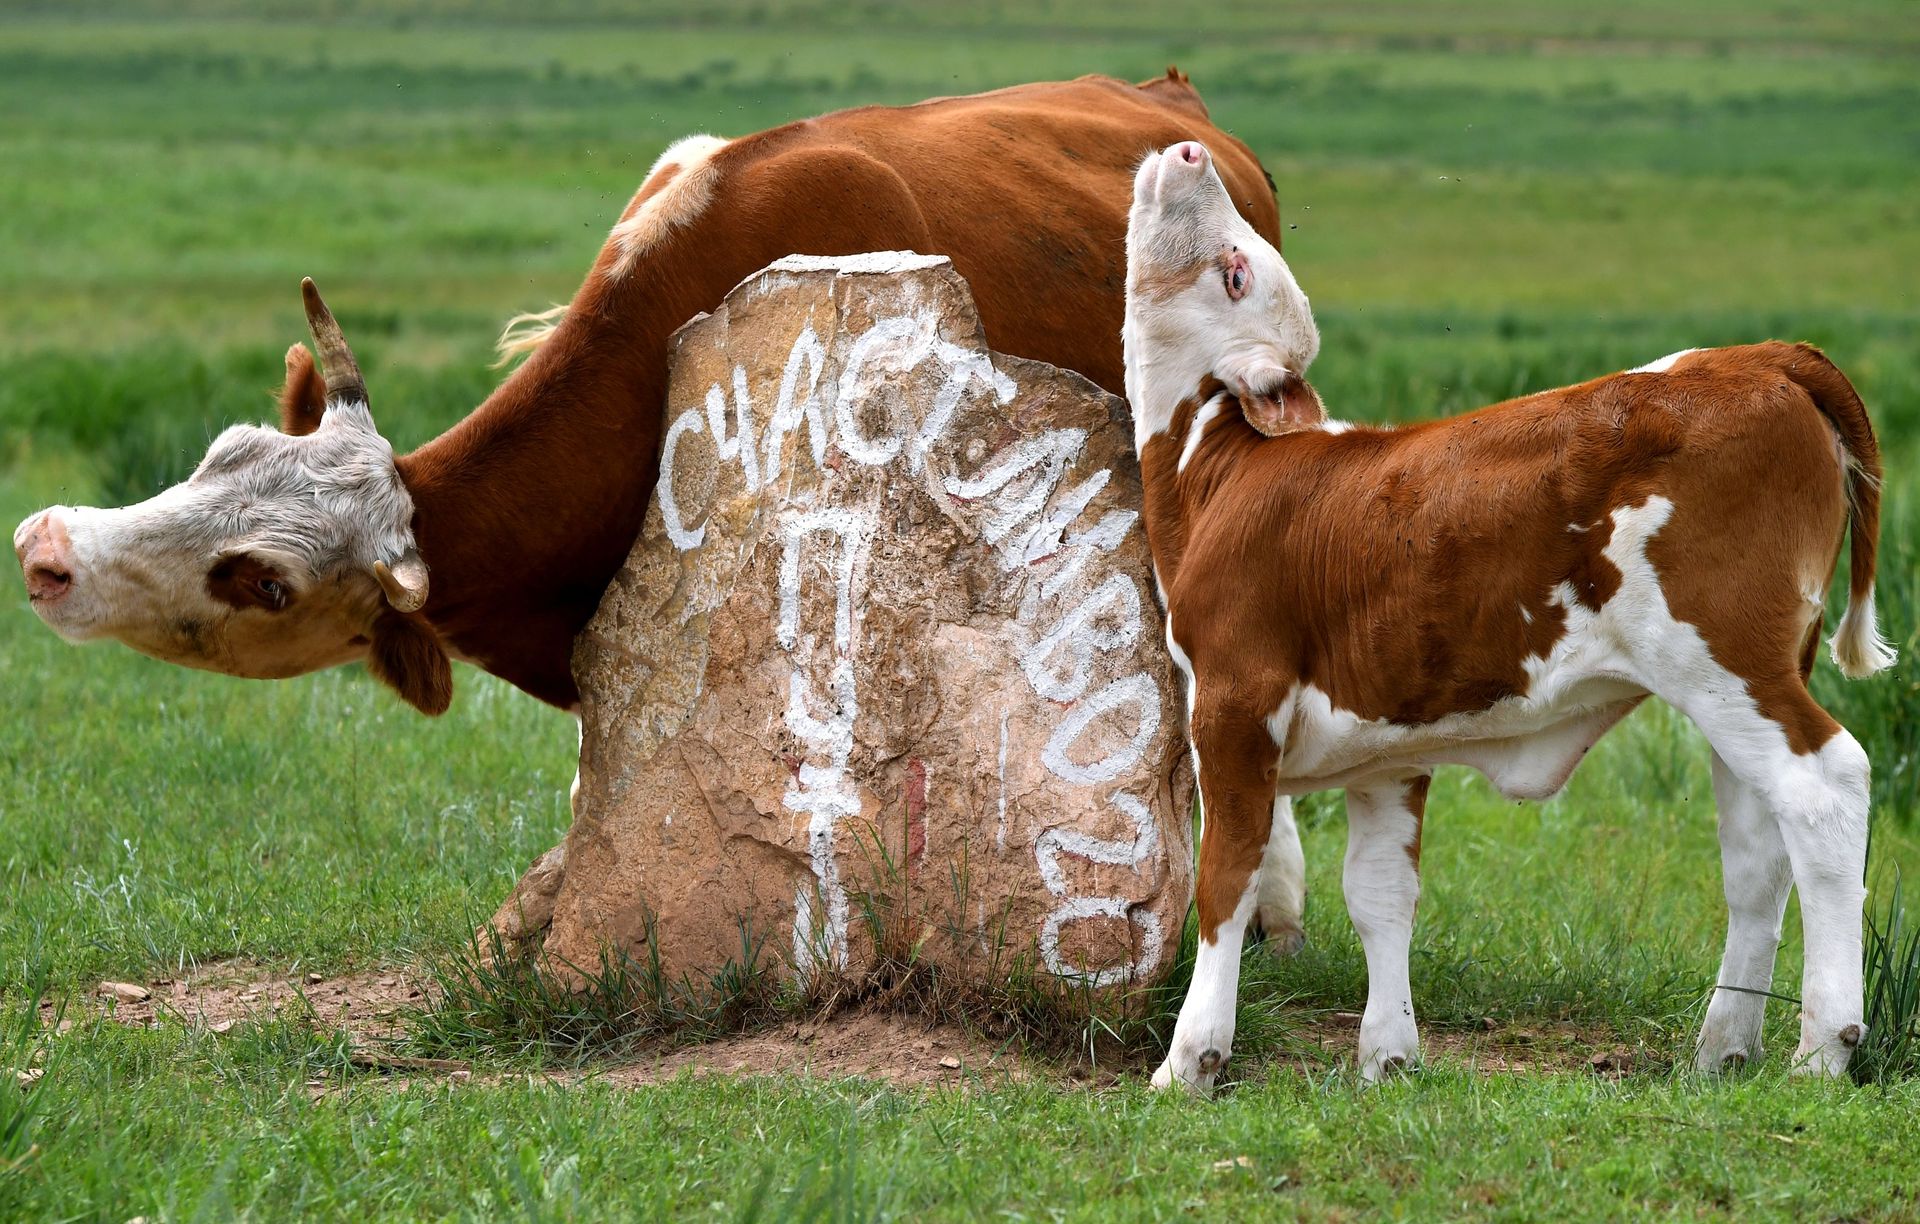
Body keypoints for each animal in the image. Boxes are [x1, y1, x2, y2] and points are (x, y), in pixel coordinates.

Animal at [1122, 140, 1894, 1093]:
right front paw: (1388, 1056)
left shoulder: (1233, 704)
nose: (1190, 148)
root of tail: (1761, 357)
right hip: (1755, 675)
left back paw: (1823, 1045)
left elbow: (1227, 876)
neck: (1213, 475)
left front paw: (1190, 1058)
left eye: (1238, 270)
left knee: (1825, 789)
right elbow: (1380, 895)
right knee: (1757, 851)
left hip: (1723, 656)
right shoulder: (1387, 747)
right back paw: (1724, 1046)